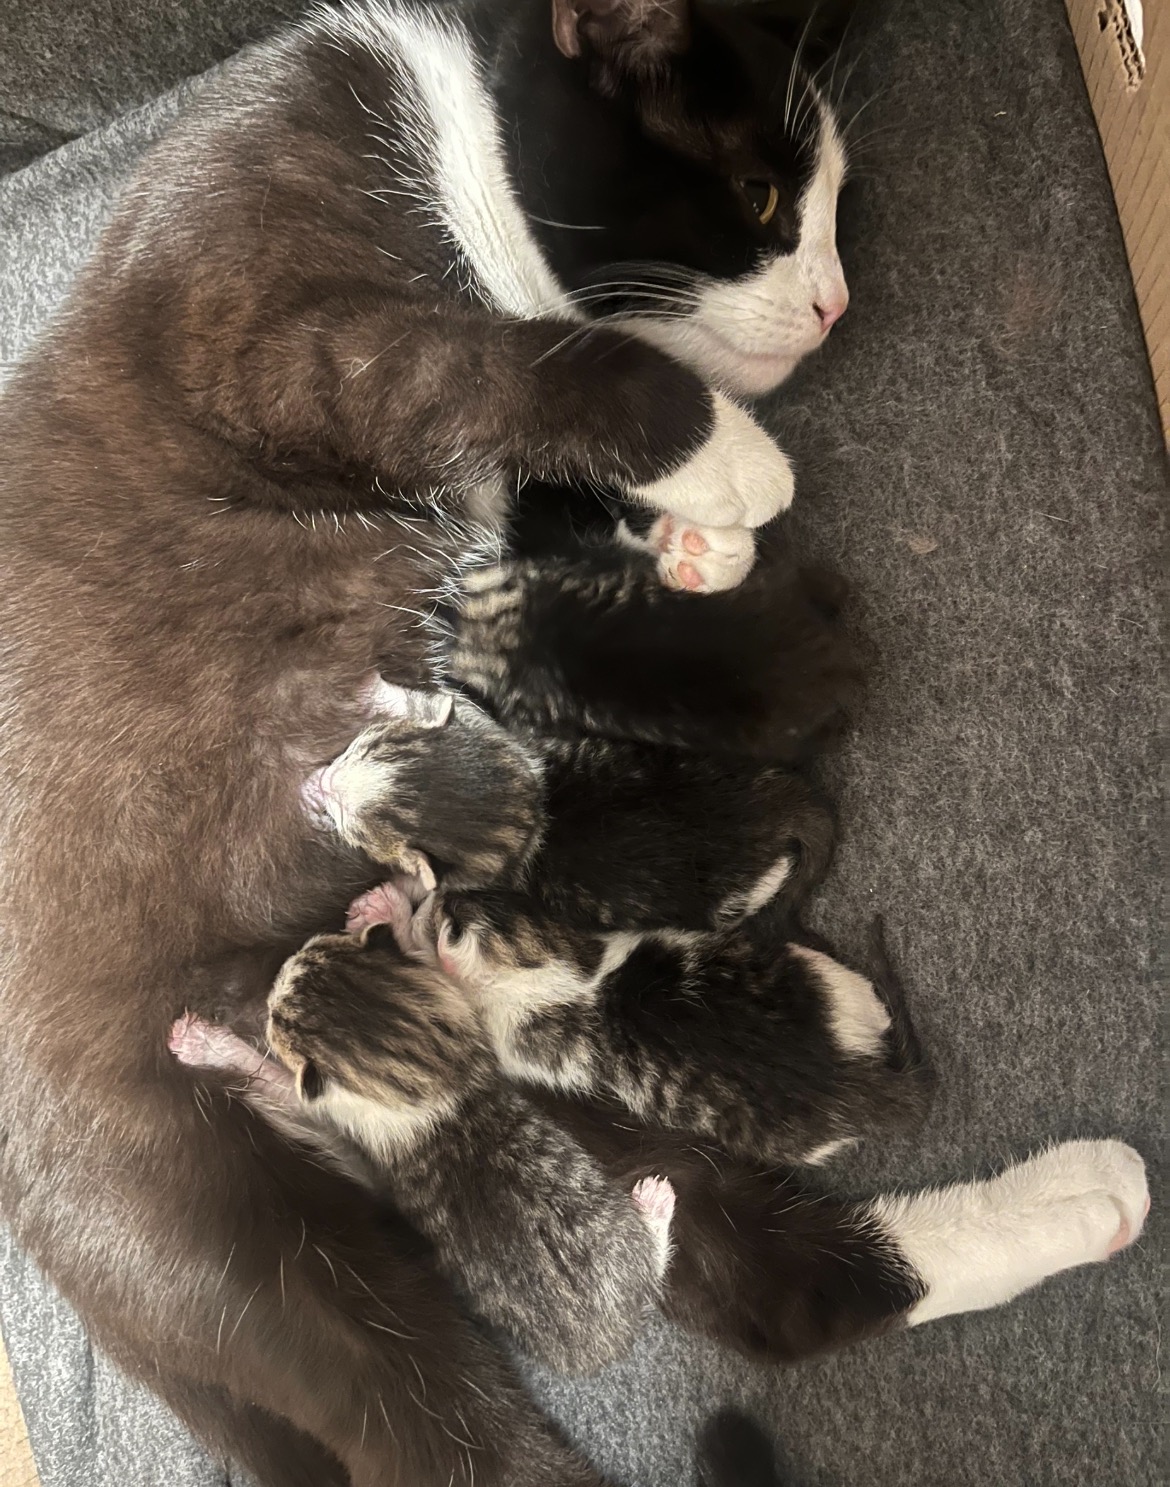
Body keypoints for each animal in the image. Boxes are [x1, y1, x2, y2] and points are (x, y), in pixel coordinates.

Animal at [0, 0, 873, 1481]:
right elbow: (484, 361)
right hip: (232, 1229)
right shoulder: (253, 323)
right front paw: (732, 468)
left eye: (834, 208)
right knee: (426, 1421)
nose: (833, 300)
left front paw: (694, 539)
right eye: (760, 197)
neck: (455, 130)